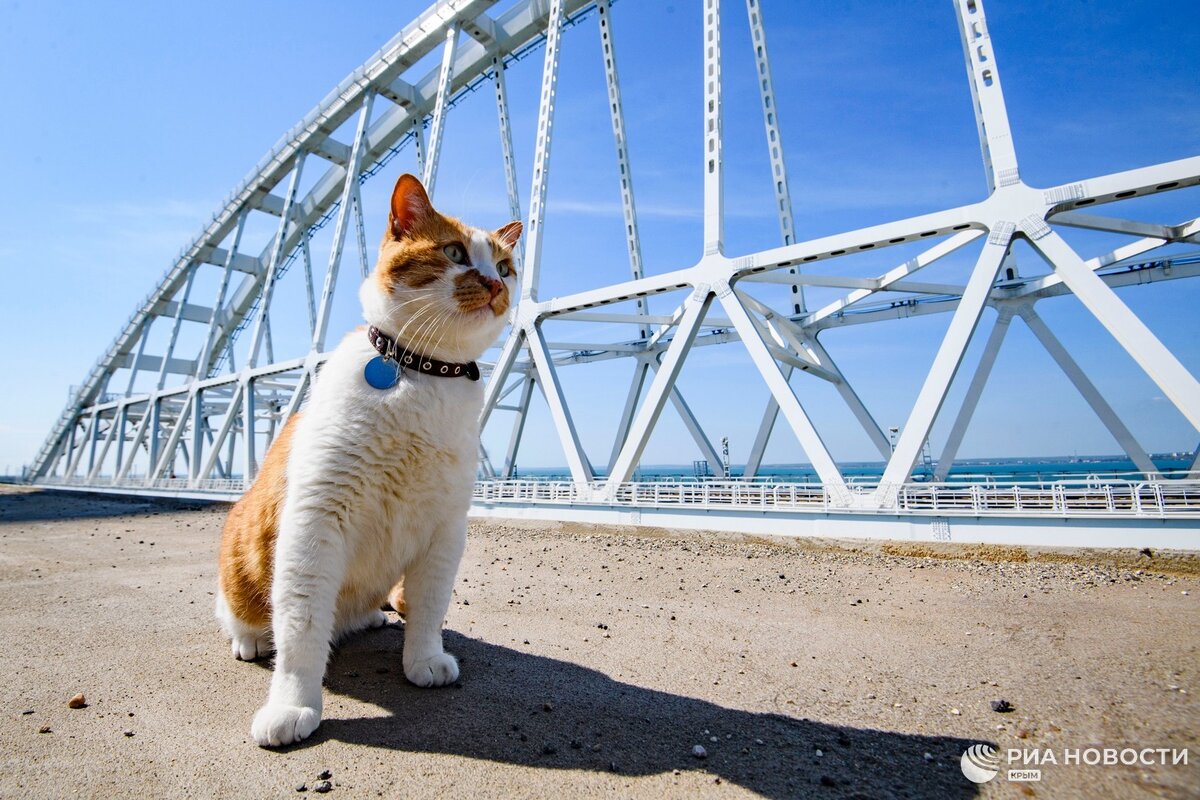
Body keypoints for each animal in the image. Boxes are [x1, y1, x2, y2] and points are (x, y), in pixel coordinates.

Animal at [216, 172, 520, 748]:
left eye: (506, 266)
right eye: (453, 253)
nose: (496, 286)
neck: (423, 372)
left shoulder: (446, 529)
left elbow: (429, 607)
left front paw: (423, 661)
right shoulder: (316, 522)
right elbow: (301, 629)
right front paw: (292, 706)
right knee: (246, 614)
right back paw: (252, 640)